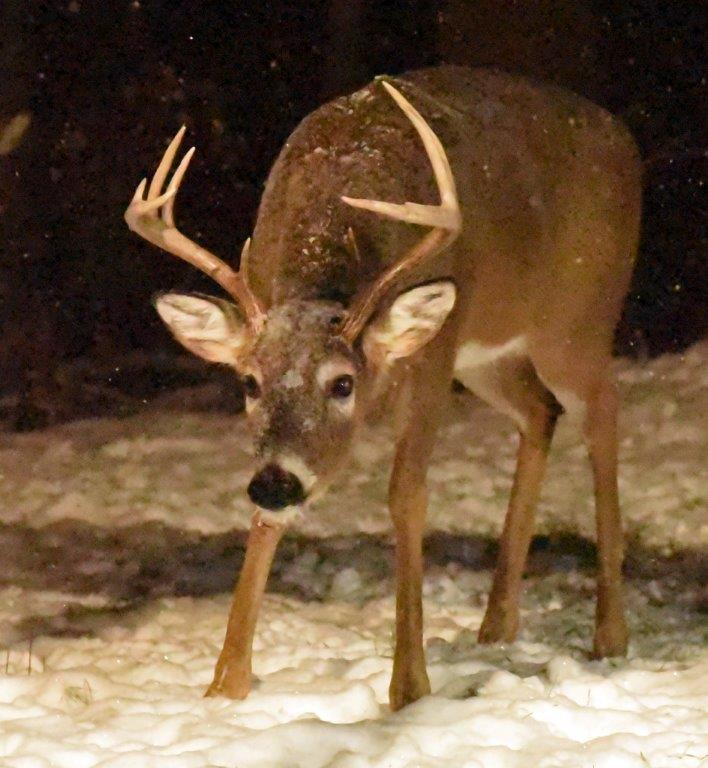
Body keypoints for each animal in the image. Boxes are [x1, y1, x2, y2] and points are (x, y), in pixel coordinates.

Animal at [124, 66, 641, 711]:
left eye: (343, 383)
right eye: (248, 382)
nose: (275, 482)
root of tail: (623, 137)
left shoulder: (433, 357)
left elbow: (405, 495)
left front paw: (410, 687)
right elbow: (266, 522)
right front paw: (225, 685)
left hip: (576, 322)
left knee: (603, 416)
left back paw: (610, 635)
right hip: (491, 357)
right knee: (540, 412)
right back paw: (497, 624)